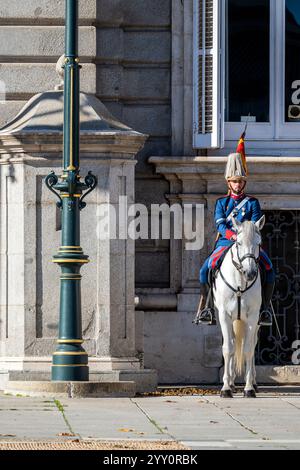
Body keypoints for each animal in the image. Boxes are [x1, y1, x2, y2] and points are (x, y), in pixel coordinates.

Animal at [213, 216, 264, 396]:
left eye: (259, 243)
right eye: (239, 243)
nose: (250, 273)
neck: (240, 282)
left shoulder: (253, 317)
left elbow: (248, 349)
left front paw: (248, 388)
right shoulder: (224, 316)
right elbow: (228, 348)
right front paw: (226, 387)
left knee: (252, 344)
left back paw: (253, 382)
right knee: (234, 344)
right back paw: (231, 382)